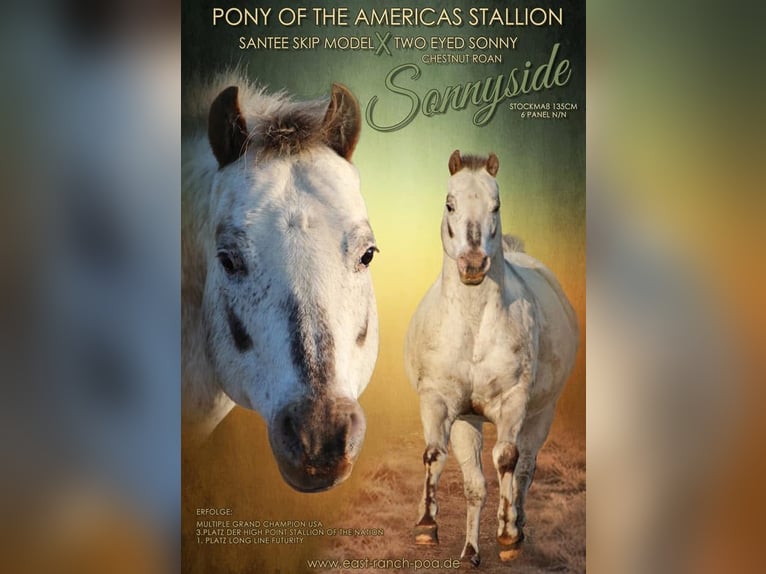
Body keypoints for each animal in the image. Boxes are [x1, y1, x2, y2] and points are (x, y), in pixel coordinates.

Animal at [404, 150, 579, 565]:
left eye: (496, 205)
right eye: (449, 204)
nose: (472, 265)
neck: (472, 327)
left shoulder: (513, 402)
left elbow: (507, 460)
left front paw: (508, 535)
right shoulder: (443, 403)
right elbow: (439, 459)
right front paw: (428, 528)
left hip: (541, 413)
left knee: (525, 467)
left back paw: (518, 524)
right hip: (470, 421)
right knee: (478, 481)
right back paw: (471, 548)